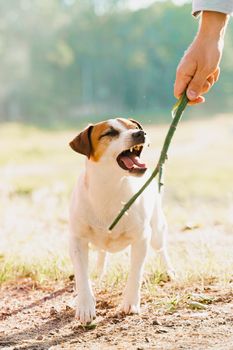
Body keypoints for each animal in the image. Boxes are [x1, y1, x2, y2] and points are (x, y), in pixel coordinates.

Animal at [68, 119, 174, 324]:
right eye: (110, 133)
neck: (110, 186)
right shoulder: (77, 240)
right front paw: (85, 305)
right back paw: (98, 271)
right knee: (102, 252)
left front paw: (131, 302)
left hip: (157, 230)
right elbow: (82, 276)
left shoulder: (142, 238)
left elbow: (136, 273)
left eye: (135, 127)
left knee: (161, 249)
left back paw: (170, 271)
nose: (140, 134)